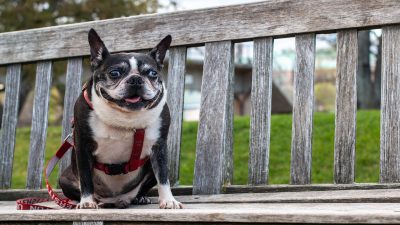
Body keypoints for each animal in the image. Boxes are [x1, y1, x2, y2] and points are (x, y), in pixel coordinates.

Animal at [58, 28, 184, 209]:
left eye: (152, 73)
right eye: (115, 73)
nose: (136, 79)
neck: (125, 117)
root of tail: (116, 199)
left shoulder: (159, 147)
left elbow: (163, 176)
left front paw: (168, 200)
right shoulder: (82, 146)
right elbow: (86, 178)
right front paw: (87, 202)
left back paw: (139, 198)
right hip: (64, 179)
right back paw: (95, 201)